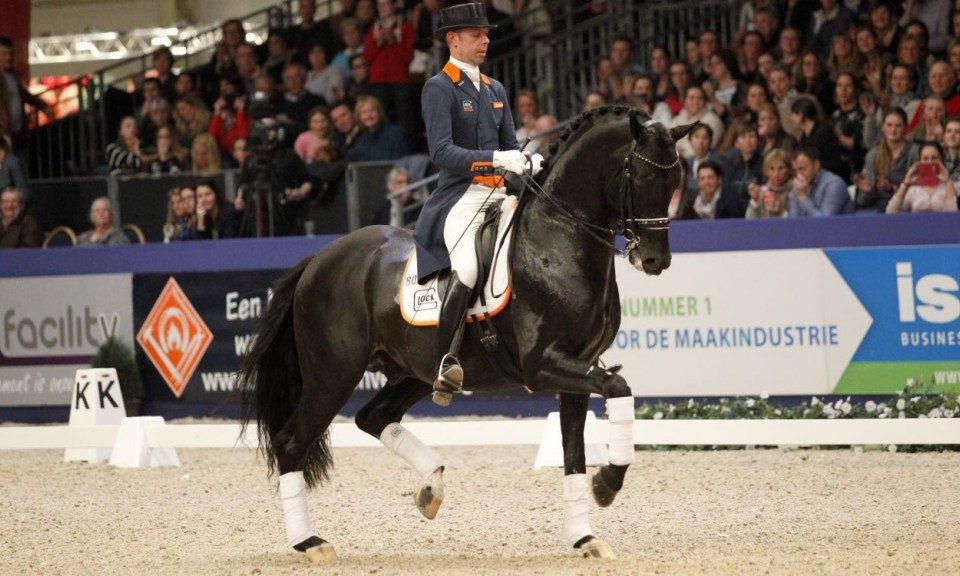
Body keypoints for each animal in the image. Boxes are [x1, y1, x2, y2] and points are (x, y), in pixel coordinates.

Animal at [238, 106, 688, 564]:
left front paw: (585, 535)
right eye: (641, 178)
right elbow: (618, 388)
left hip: (412, 372)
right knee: (291, 441)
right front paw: (607, 484)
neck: (559, 238)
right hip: (333, 375)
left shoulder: (577, 369)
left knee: (373, 417)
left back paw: (430, 488)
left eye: (676, 181)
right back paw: (310, 542)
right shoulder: (542, 364)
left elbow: (576, 453)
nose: (656, 260)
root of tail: (319, 258)